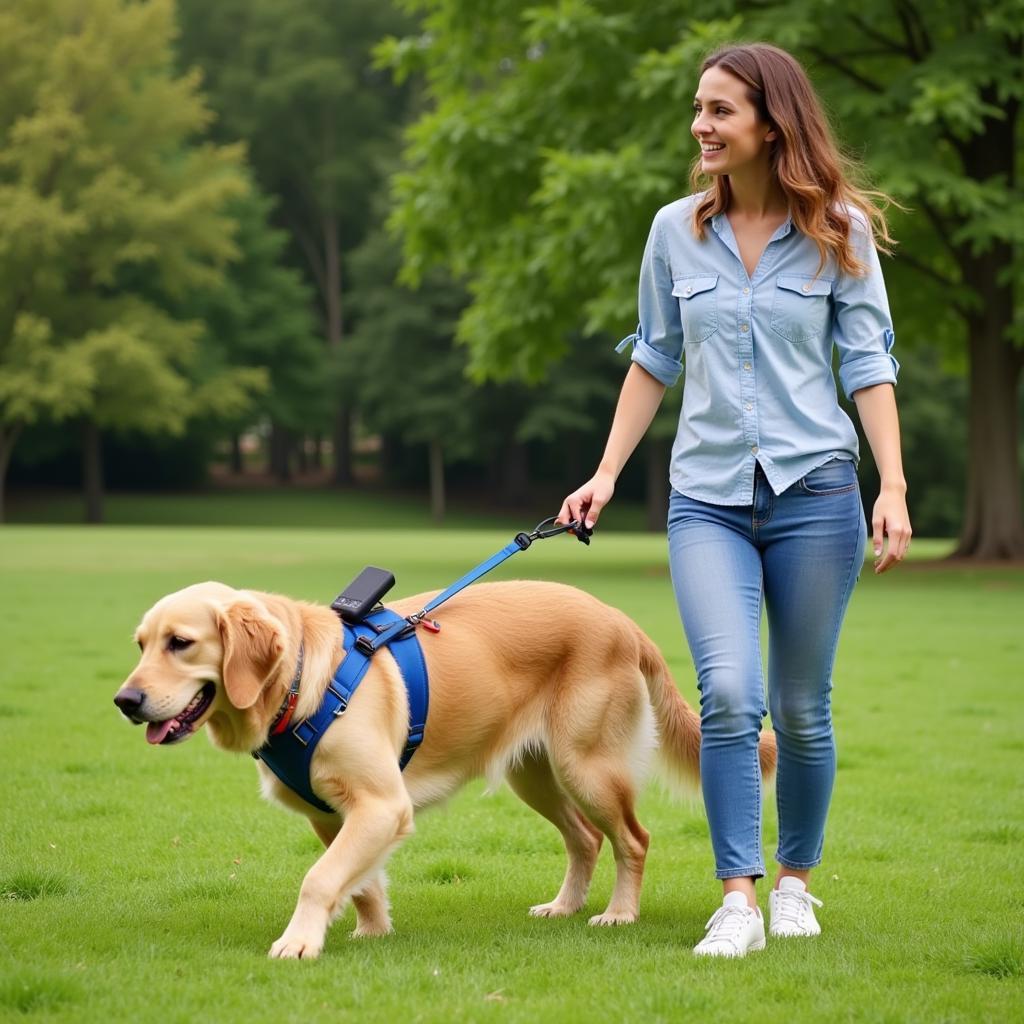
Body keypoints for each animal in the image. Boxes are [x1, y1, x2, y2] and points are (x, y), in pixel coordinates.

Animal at [116, 581, 774, 954]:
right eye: (141, 644)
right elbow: (359, 882)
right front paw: (372, 931)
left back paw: (618, 913)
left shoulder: (382, 804)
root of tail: (621, 619)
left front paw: (299, 942)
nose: (125, 701)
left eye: (180, 643)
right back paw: (564, 907)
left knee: (633, 839)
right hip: (535, 775)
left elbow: (320, 879)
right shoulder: (334, 816)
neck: (306, 680)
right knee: (586, 839)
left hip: (586, 766)